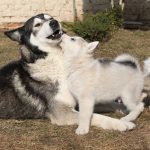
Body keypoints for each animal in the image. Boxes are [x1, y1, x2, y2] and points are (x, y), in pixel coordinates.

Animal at [1, 13, 136, 132]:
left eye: (50, 18)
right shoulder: (62, 112)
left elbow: (109, 104)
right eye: (37, 24)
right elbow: (96, 116)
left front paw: (129, 110)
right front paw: (121, 124)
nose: (54, 22)